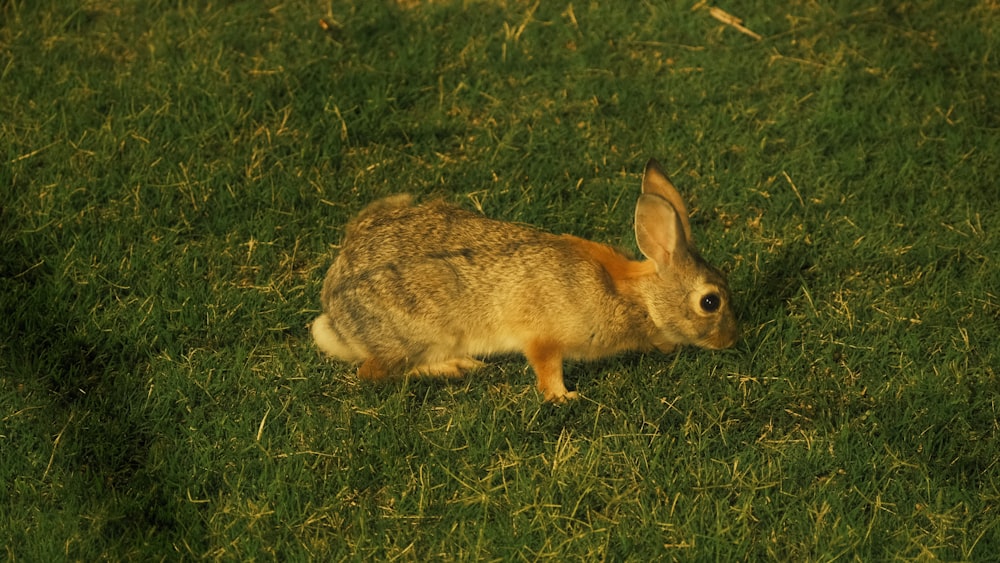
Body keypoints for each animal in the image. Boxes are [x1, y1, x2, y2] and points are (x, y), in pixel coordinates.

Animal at [312, 159, 744, 404]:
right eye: (710, 302)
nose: (731, 340)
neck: (638, 298)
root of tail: (334, 311)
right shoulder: (544, 336)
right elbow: (546, 367)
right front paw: (565, 397)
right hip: (419, 333)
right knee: (375, 373)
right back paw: (456, 367)